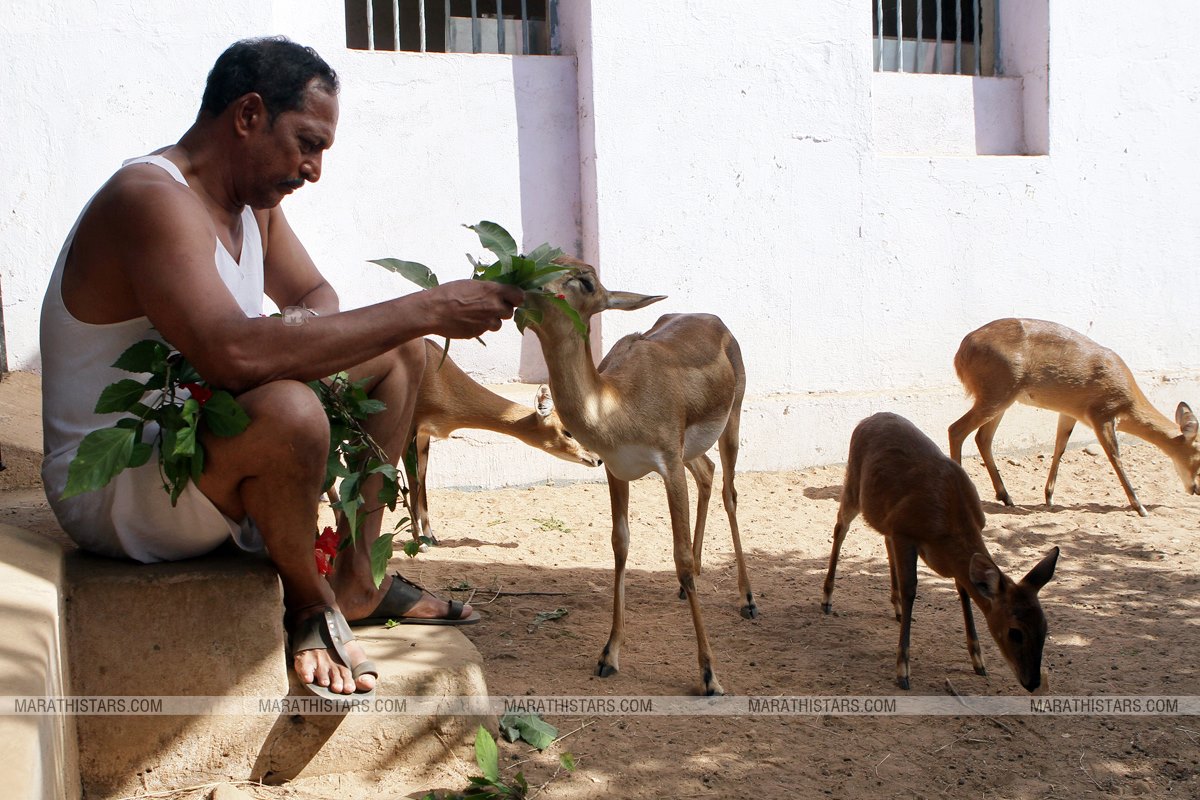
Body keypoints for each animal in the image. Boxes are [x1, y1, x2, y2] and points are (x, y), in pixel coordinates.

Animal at [410, 338, 600, 544]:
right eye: (568, 432)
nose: (597, 459)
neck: (439, 377)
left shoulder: (425, 435)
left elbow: (421, 479)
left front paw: (431, 537)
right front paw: (420, 542)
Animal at [523, 257, 748, 695]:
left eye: (586, 281)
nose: (527, 287)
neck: (618, 402)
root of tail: (714, 320)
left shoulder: (668, 466)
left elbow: (678, 555)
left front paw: (710, 675)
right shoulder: (616, 470)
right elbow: (620, 545)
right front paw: (608, 656)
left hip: (731, 421)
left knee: (729, 490)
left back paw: (748, 600)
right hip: (691, 451)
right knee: (708, 474)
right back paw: (689, 586)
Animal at [820, 412, 1056, 695]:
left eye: (1044, 626)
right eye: (1015, 632)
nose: (1032, 682)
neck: (948, 525)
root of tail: (868, 419)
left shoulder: (913, 538)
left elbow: (963, 591)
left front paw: (978, 661)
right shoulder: (905, 532)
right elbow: (912, 589)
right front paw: (903, 672)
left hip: (883, 515)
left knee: (883, 541)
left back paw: (896, 608)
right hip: (853, 485)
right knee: (840, 527)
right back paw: (827, 599)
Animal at [945, 319, 1200, 520]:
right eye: (1199, 454)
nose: (1196, 489)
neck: (1127, 398)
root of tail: (961, 351)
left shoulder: (1069, 413)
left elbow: (1060, 447)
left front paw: (1049, 497)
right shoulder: (1101, 416)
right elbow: (1115, 456)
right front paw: (1140, 507)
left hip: (1002, 401)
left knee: (983, 438)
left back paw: (1007, 497)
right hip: (996, 396)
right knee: (956, 430)